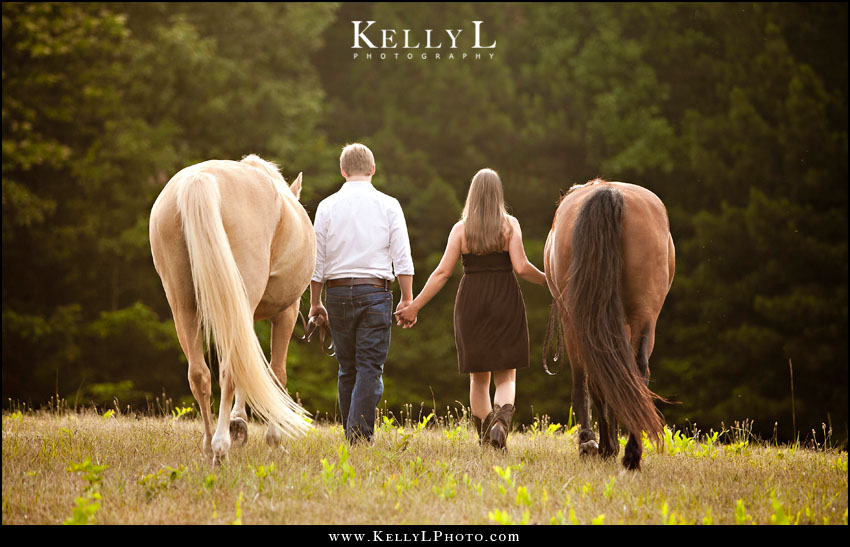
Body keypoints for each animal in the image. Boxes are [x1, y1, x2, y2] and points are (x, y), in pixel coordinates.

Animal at [149, 155, 314, 466]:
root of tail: (201, 179)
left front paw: (239, 424)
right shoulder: (285, 313)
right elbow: (275, 373)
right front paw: (272, 438)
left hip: (184, 306)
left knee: (199, 373)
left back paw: (208, 444)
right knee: (229, 370)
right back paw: (220, 447)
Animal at [544, 181, 676, 470]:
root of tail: (610, 192)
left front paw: (598, 444)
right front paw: (610, 445)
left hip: (577, 321)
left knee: (593, 376)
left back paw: (602, 445)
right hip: (643, 314)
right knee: (635, 372)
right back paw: (631, 453)